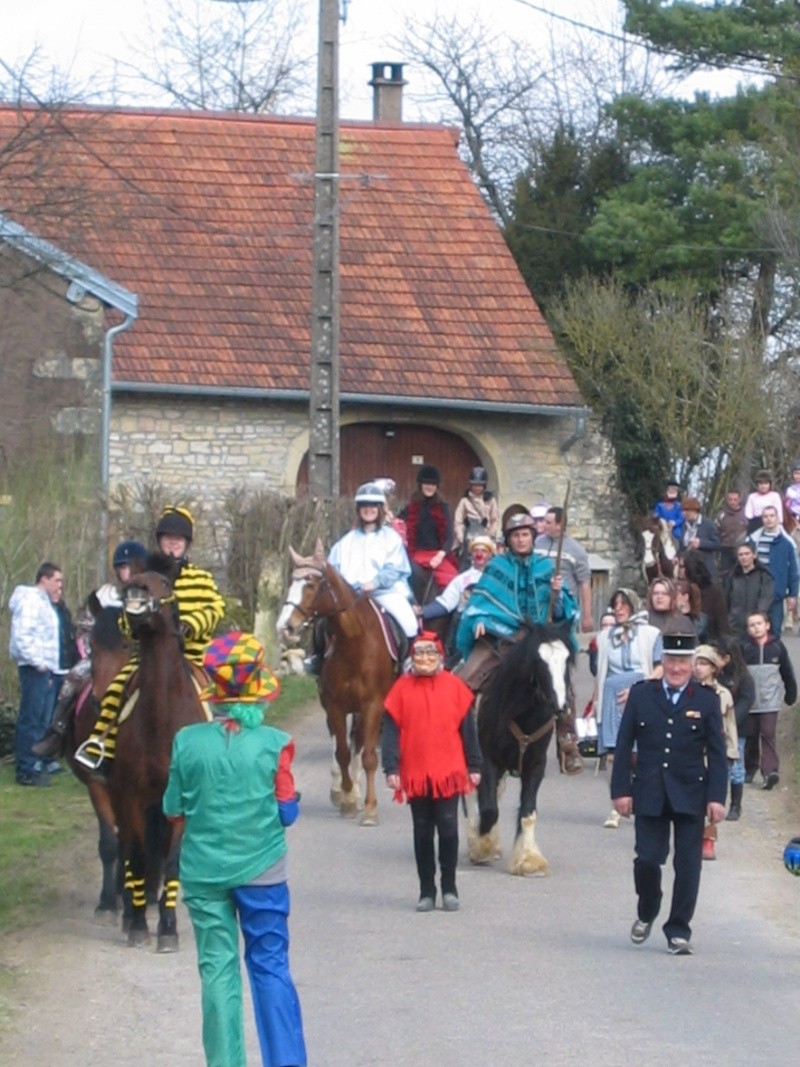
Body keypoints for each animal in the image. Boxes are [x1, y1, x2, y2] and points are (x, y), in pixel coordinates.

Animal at [109, 567, 210, 951]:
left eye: (164, 583)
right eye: (134, 577)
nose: (134, 591)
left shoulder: (180, 803)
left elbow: (172, 862)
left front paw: (167, 929)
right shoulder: (131, 798)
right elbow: (138, 858)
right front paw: (139, 924)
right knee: (127, 851)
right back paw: (128, 915)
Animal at [279, 542, 398, 823]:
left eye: (311, 584)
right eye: (291, 582)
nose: (285, 627)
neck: (354, 642)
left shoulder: (373, 705)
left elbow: (367, 756)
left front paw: (370, 808)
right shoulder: (334, 705)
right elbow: (342, 752)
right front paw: (347, 800)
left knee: (360, 744)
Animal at [469, 623, 576, 879]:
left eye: (567, 659)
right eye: (538, 661)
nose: (561, 707)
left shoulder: (535, 765)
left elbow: (528, 813)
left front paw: (529, 860)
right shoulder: (487, 761)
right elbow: (489, 809)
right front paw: (481, 847)